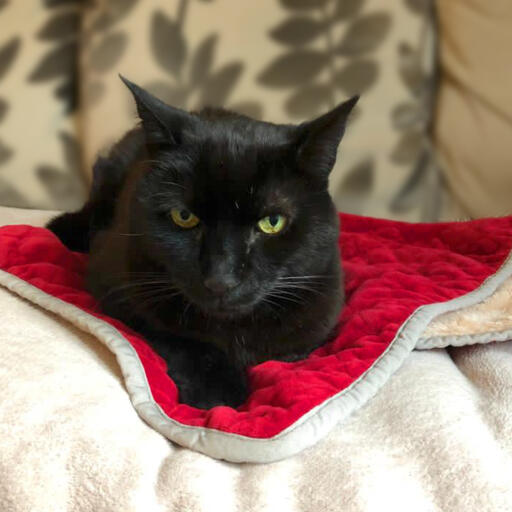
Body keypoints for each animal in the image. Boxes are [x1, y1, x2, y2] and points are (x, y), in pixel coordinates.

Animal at [50, 76, 358, 410]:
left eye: (272, 222)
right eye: (184, 216)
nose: (221, 279)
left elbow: (290, 350)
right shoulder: (116, 288)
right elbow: (181, 338)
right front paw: (217, 392)